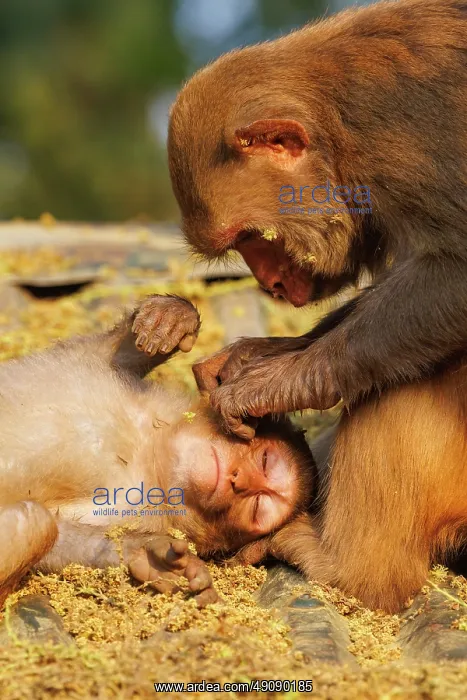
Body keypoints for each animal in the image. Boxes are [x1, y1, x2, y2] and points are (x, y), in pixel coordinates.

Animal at [0, 295, 314, 609]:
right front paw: (172, 317)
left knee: (37, 522)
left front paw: (152, 557)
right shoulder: (96, 370)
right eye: (264, 460)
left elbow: (59, 533)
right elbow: (103, 354)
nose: (237, 480)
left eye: (257, 506)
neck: (150, 450)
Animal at [167, 0, 467, 439]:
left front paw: (290, 375)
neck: (339, 130)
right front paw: (269, 350)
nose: (271, 285)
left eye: (252, 236)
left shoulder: (408, 137)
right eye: (241, 242)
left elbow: (457, 268)